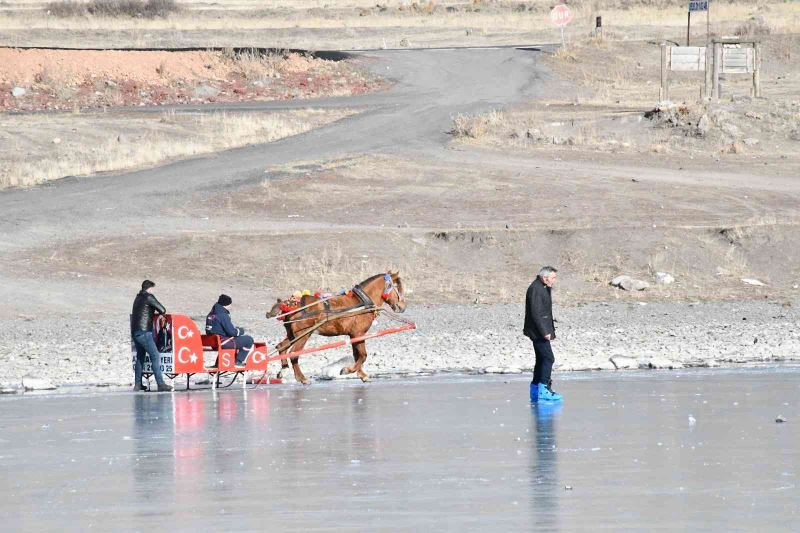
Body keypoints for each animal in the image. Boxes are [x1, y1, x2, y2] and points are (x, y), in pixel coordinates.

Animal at [268, 272, 406, 384]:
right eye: (397, 287)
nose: (403, 307)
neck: (362, 302)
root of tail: (290, 304)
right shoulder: (359, 333)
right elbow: (363, 355)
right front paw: (347, 370)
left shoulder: (353, 335)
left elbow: (357, 355)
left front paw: (361, 375)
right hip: (304, 334)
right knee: (293, 354)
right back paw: (302, 378)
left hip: (293, 334)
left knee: (281, 347)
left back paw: (284, 369)